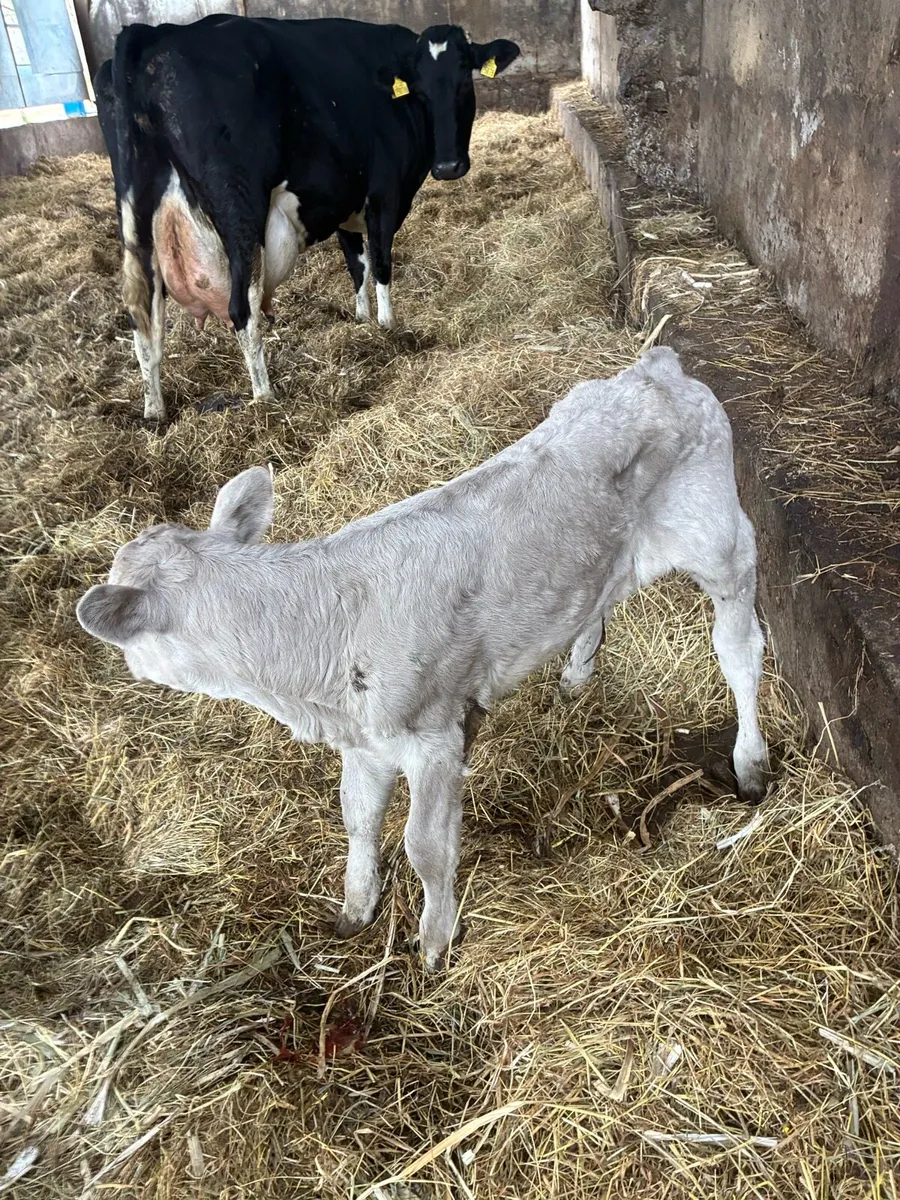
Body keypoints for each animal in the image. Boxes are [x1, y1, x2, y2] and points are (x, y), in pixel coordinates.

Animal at [77, 349, 770, 968]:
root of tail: (654, 368)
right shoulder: (362, 740)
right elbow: (357, 820)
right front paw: (356, 909)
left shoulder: (434, 738)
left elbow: (425, 848)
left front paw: (435, 940)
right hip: (601, 554)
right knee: (597, 600)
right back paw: (575, 678)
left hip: (720, 540)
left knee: (739, 653)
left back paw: (751, 764)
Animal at [93, 16, 520, 422]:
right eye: (419, 86)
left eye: (464, 74)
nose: (448, 167)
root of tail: (155, 33)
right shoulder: (384, 196)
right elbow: (381, 264)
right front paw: (388, 328)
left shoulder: (347, 207)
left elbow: (357, 266)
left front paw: (362, 320)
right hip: (240, 208)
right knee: (241, 308)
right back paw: (265, 397)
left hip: (137, 216)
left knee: (143, 316)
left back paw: (155, 412)